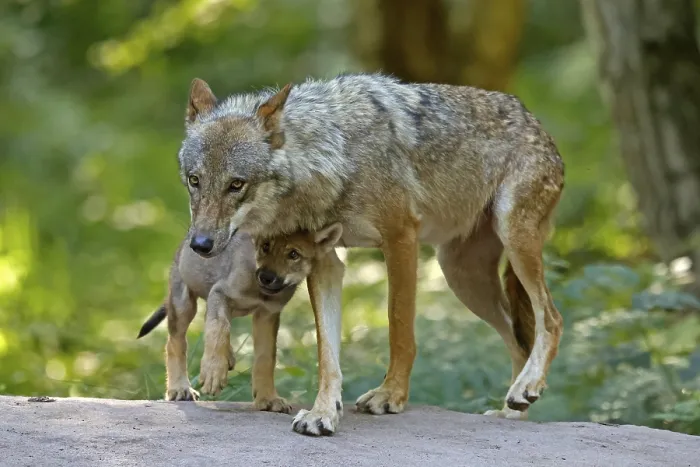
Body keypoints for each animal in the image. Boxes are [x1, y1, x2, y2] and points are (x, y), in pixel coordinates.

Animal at [137, 230, 298, 413]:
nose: (269, 278)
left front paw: (268, 398)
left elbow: (266, 358)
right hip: (183, 303)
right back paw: (180, 388)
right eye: (266, 247)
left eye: (293, 254)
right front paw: (214, 371)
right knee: (175, 343)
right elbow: (218, 329)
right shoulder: (220, 293)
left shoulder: (268, 313)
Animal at [177, 72, 565, 436]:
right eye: (194, 180)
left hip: (511, 242)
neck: (336, 158)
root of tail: (536, 121)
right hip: (462, 277)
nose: (200, 244)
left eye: (236, 184)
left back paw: (526, 388)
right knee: (518, 342)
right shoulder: (326, 262)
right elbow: (327, 352)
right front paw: (323, 413)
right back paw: (512, 408)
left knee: (552, 319)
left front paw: (391, 395)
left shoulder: (401, 239)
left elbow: (399, 329)